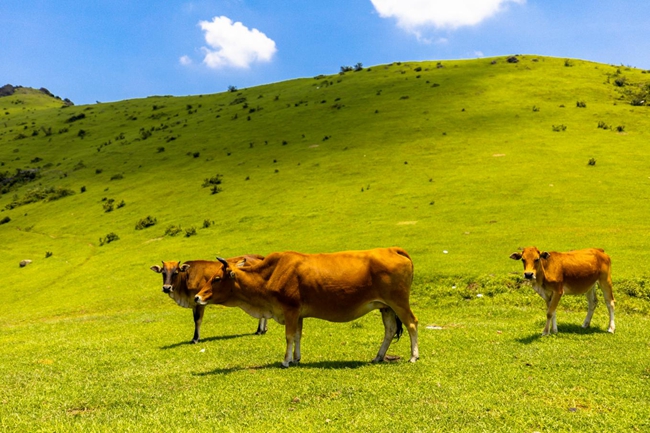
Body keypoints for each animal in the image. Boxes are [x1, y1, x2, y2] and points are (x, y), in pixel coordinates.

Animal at [194, 248, 416, 366]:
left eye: (216, 278)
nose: (197, 297)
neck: (270, 275)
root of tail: (393, 249)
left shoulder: (290, 310)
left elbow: (289, 336)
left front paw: (286, 361)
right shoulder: (298, 314)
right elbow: (298, 336)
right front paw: (296, 358)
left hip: (399, 302)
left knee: (412, 324)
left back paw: (414, 356)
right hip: (385, 306)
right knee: (390, 330)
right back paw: (378, 356)